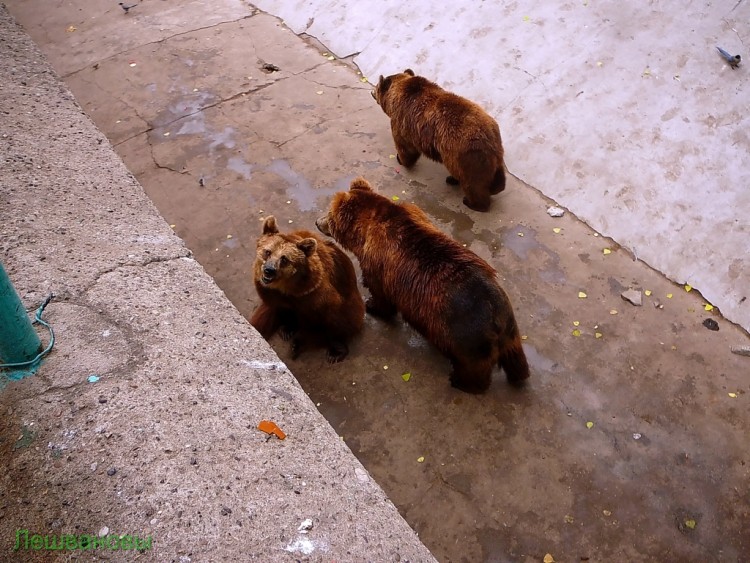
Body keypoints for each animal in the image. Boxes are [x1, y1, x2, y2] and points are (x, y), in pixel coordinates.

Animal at [251, 214, 366, 364]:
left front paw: (336, 351)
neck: (289, 287)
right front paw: (287, 329)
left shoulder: (317, 294)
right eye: (267, 251)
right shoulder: (271, 293)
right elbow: (283, 310)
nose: (269, 270)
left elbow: (334, 318)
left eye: (284, 259)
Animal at [316, 177, 528, 392]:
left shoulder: (379, 263)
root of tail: (495, 312)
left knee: (472, 365)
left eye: (330, 215)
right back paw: (518, 374)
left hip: (465, 333)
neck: (366, 232)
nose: (317, 222)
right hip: (510, 328)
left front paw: (371, 304)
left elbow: (380, 294)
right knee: (514, 356)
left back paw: (460, 381)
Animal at [374, 68, 508, 213]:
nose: (372, 92)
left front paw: (400, 158)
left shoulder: (402, 122)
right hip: (493, 151)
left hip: (463, 154)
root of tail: (487, 136)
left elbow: (405, 147)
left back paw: (471, 201)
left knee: (472, 182)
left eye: (376, 86)